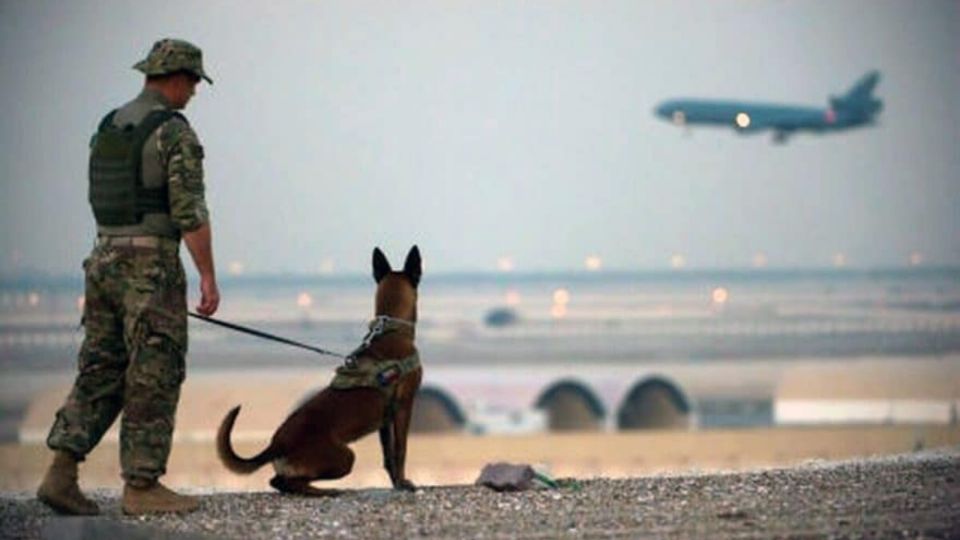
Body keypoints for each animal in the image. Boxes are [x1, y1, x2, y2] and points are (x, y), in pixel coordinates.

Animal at [219, 245, 426, 494]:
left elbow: (388, 456)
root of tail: (277, 443)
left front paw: (396, 483)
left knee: (278, 482)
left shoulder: (384, 421)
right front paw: (405, 484)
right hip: (345, 458)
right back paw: (323, 491)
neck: (391, 330)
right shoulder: (404, 406)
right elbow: (401, 450)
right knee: (286, 482)